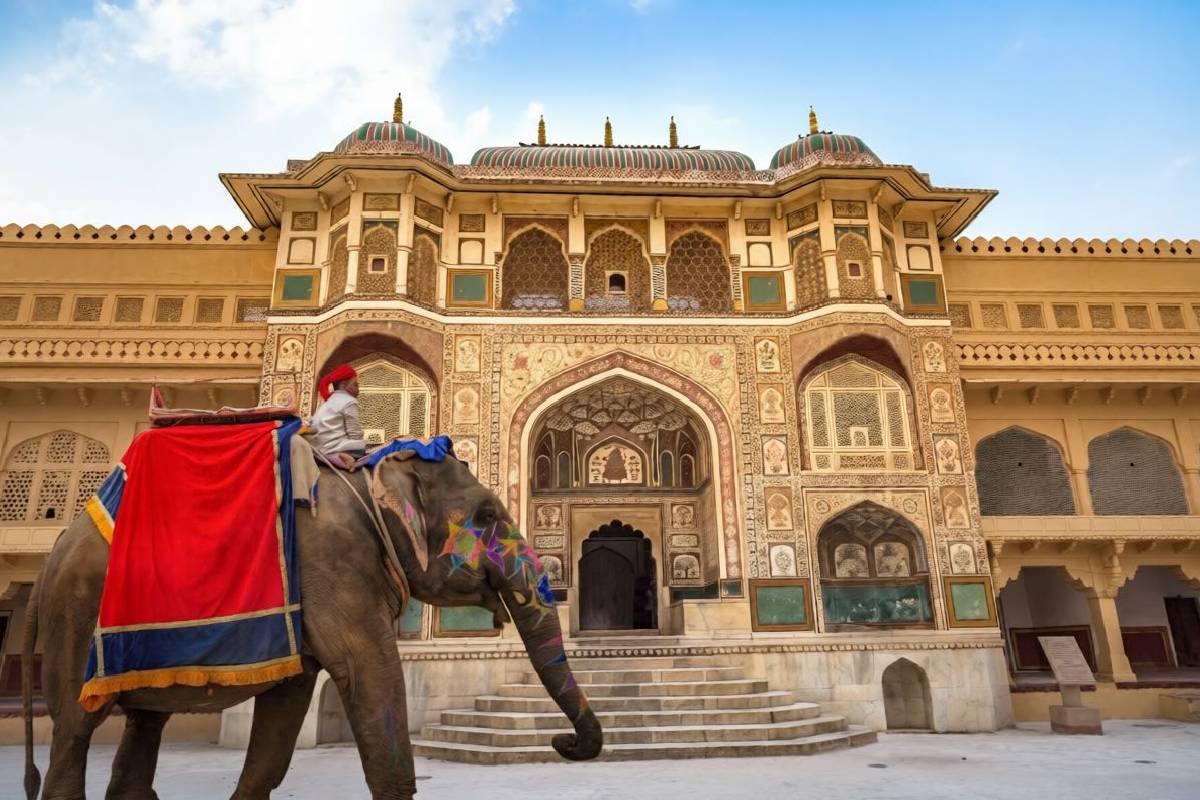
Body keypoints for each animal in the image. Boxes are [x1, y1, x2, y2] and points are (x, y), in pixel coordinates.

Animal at [22, 450, 602, 799]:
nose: (562, 744)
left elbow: (280, 731)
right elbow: (373, 685)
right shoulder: (332, 563)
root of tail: (53, 553)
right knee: (74, 732)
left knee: (144, 726)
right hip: (75, 612)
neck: (368, 483)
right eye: (485, 516)